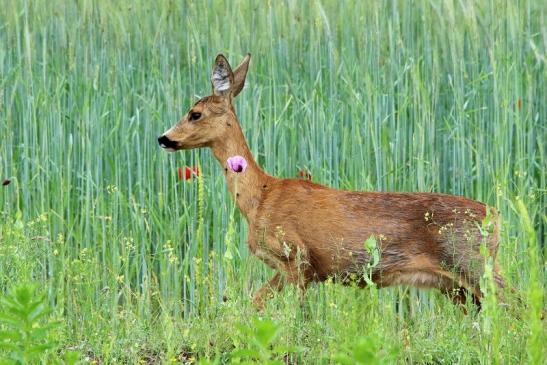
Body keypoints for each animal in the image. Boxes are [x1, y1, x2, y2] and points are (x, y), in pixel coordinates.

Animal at [159, 53, 510, 310]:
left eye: (194, 113)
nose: (163, 138)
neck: (260, 197)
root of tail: (495, 215)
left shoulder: (296, 256)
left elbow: (294, 316)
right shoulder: (293, 270)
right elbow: (255, 303)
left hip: (473, 264)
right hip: (456, 285)